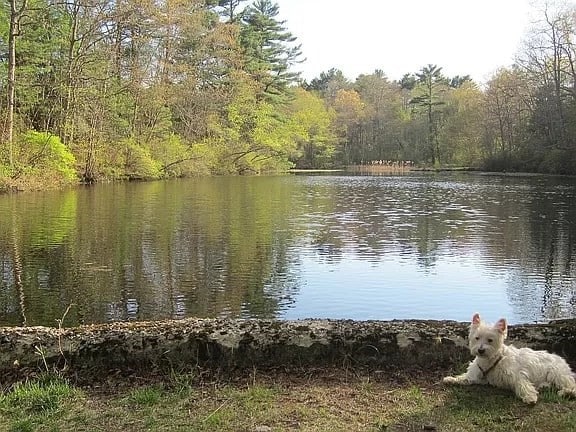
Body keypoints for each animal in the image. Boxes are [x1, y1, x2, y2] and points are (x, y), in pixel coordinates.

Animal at [444, 312, 572, 404]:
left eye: (490, 340)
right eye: (477, 338)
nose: (480, 350)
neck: (491, 360)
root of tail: (561, 358)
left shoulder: (516, 374)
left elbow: (522, 384)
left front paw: (530, 397)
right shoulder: (476, 374)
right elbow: (465, 378)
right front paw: (451, 379)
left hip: (556, 373)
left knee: (570, 385)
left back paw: (566, 392)